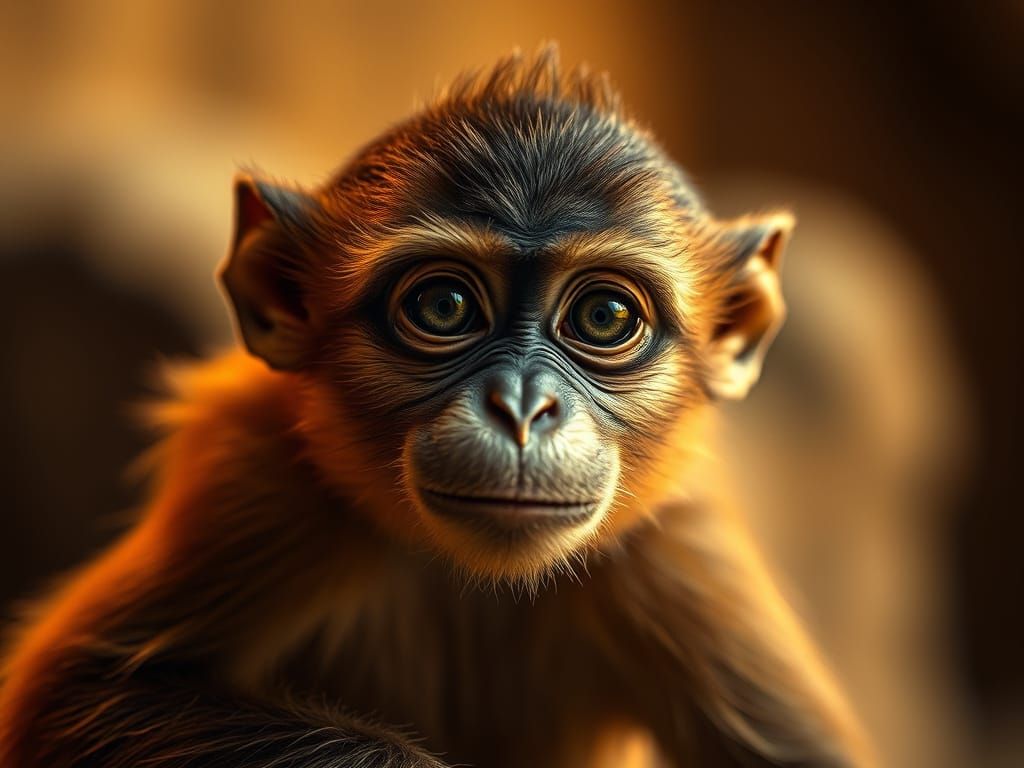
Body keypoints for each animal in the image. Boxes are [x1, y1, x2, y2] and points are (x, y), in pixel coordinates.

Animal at [0, 47, 873, 767]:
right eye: (445, 305)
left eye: (604, 317)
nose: (521, 408)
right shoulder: (259, 480)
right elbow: (76, 693)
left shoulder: (676, 548)